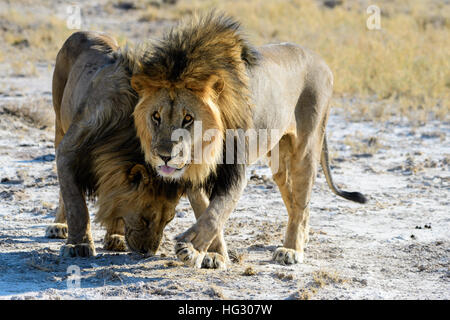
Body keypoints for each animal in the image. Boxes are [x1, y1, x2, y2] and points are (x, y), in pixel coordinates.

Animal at [46, 31, 185, 258]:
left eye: (169, 220)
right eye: (145, 219)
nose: (149, 252)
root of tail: (84, 32)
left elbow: (117, 202)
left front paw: (116, 237)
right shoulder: (69, 150)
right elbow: (76, 205)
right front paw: (78, 245)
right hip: (59, 120)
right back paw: (58, 226)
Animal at [129, 13, 366, 268]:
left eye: (188, 118)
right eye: (156, 116)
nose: (164, 156)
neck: (206, 149)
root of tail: (321, 60)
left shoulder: (236, 171)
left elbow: (215, 213)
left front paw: (191, 248)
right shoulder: (194, 173)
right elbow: (204, 209)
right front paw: (214, 254)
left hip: (306, 148)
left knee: (302, 201)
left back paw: (292, 250)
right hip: (279, 161)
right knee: (293, 199)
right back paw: (302, 237)